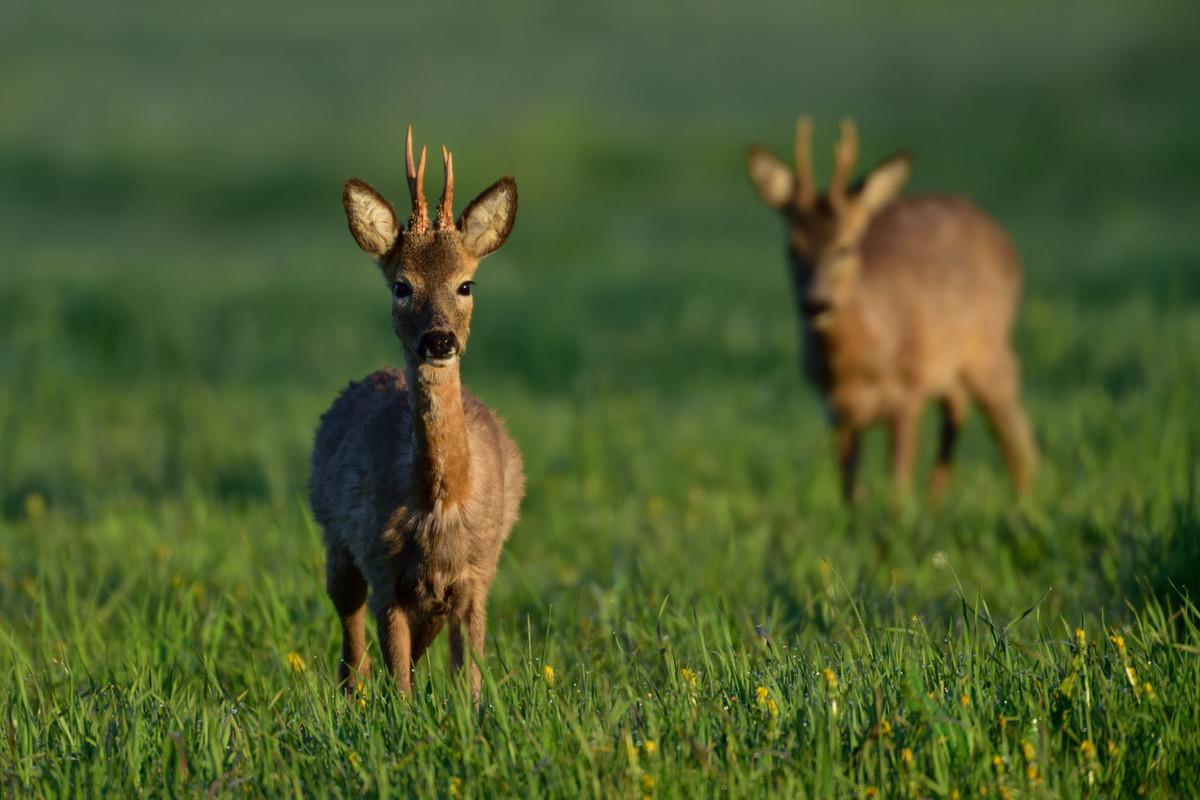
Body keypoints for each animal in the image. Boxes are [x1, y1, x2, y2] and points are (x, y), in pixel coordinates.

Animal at [314, 128, 525, 695]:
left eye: (466, 284)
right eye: (401, 286)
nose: (439, 340)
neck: (440, 506)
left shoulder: (478, 575)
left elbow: (469, 682)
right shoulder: (384, 571)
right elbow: (401, 687)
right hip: (335, 541)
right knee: (352, 641)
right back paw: (350, 695)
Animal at [744, 115, 1036, 503]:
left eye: (846, 246)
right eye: (792, 248)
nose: (816, 303)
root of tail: (997, 231)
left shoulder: (908, 393)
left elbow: (897, 486)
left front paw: (900, 517)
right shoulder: (835, 411)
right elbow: (851, 492)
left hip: (989, 342)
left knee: (1012, 423)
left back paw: (1027, 499)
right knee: (957, 409)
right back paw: (936, 501)